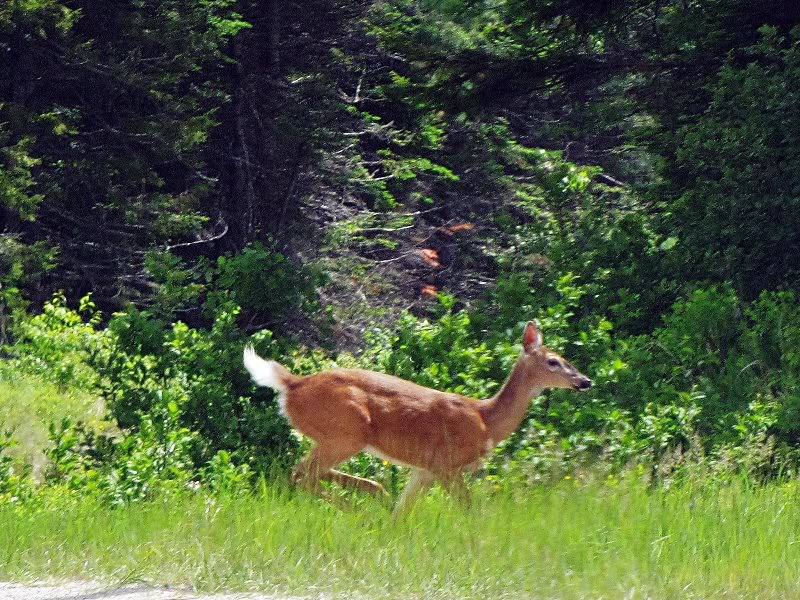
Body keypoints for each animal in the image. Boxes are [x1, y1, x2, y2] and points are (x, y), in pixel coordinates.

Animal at [243, 321, 591, 514]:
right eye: (554, 361)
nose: (585, 381)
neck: (487, 420)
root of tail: (292, 385)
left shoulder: (425, 469)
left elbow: (405, 510)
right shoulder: (446, 464)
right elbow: (471, 509)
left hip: (337, 437)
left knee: (305, 473)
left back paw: (374, 500)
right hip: (345, 431)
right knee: (302, 474)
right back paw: (360, 511)